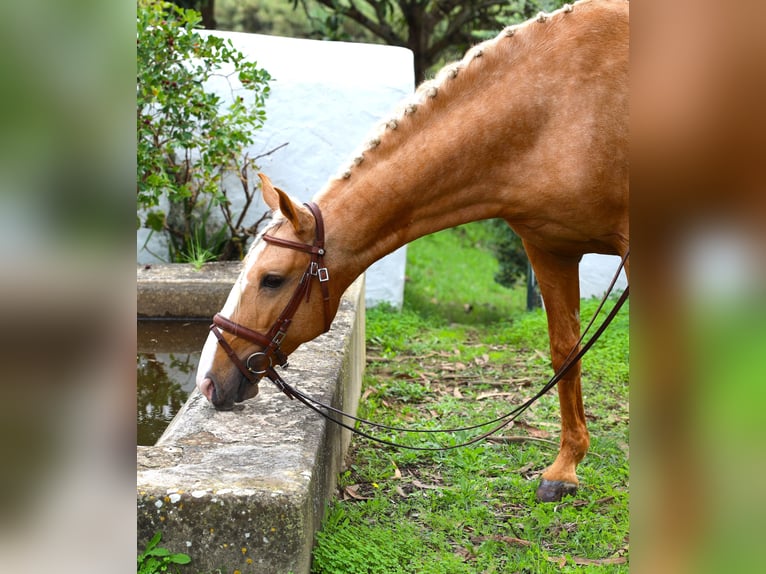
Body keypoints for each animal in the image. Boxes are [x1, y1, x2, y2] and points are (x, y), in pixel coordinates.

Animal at [196, 0, 632, 504]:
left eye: (272, 279)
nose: (207, 380)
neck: (559, 110)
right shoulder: (549, 247)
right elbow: (566, 352)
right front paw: (565, 469)